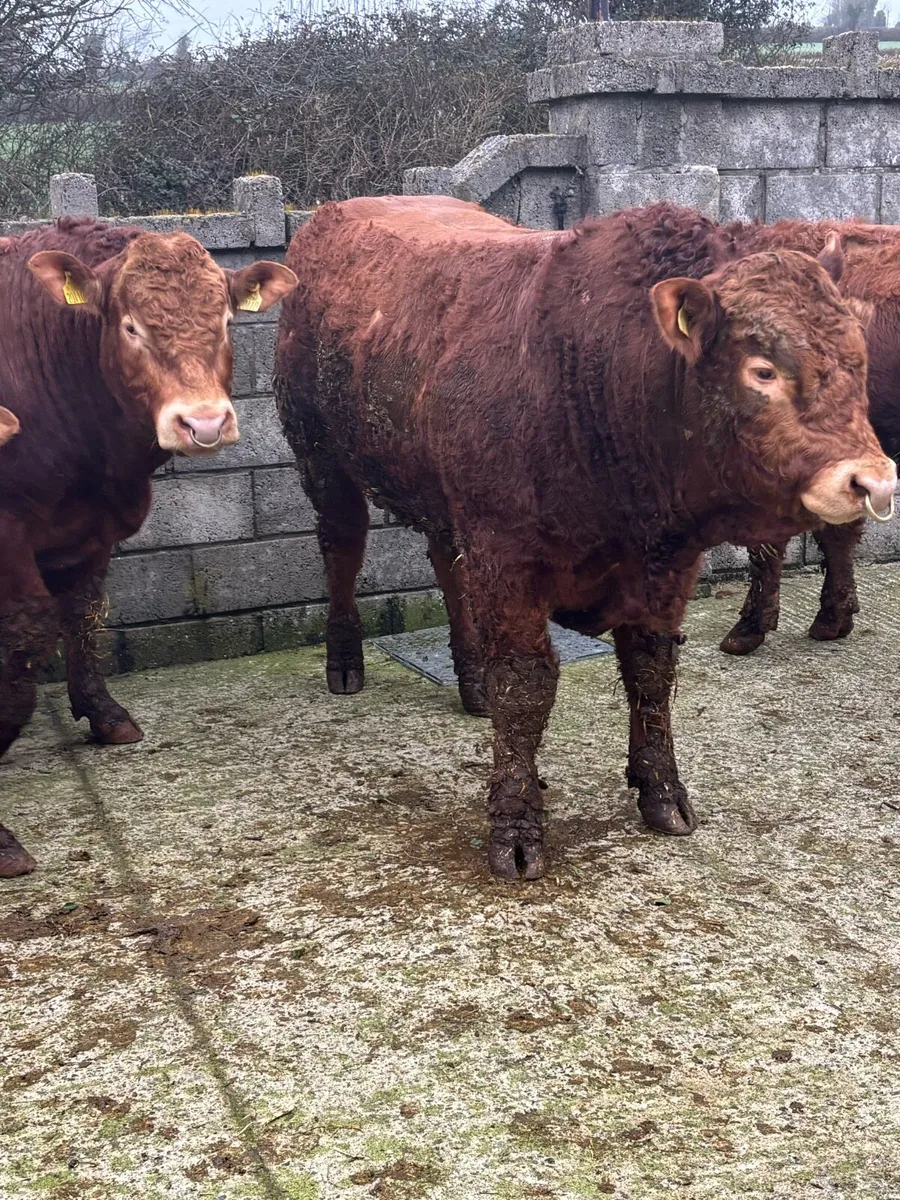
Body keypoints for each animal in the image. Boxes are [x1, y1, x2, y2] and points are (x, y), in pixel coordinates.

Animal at [0, 218, 297, 879]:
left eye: (228, 321)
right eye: (131, 327)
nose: (204, 423)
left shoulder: (85, 527)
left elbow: (83, 611)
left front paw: (105, 714)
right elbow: (28, 632)